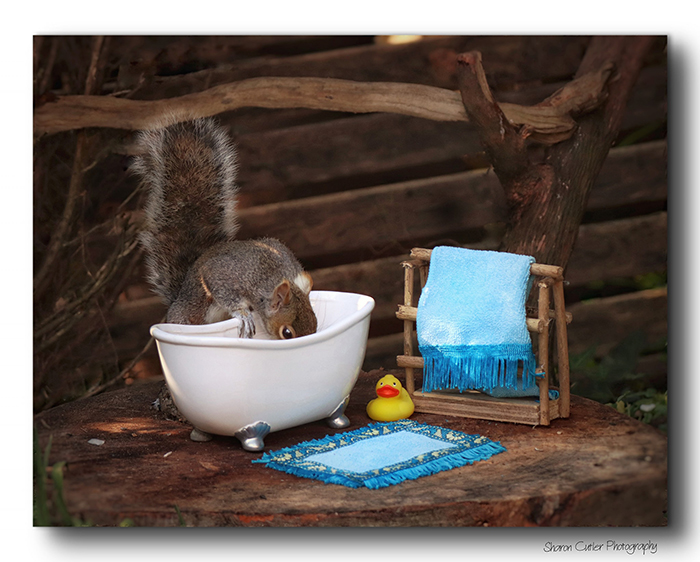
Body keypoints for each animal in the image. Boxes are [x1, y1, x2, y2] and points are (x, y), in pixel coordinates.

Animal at [132, 117, 317, 340]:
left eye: (316, 324)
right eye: (287, 332)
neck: (271, 275)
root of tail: (177, 298)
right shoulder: (226, 275)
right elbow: (221, 289)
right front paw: (242, 313)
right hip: (188, 315)